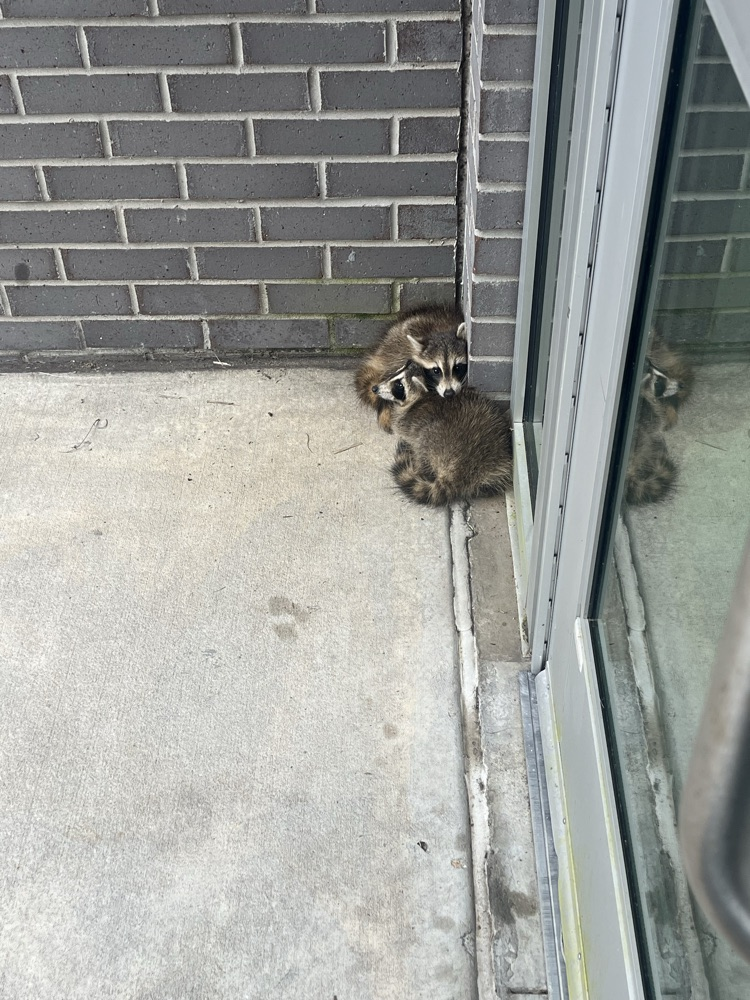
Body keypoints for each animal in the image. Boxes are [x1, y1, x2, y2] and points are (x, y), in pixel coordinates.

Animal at [375, 364, 513, 507]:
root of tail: (458, 471)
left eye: (399, 385)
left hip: (429, 438)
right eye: (396, 372)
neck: (420, 397)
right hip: (498, 460)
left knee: (421, 451)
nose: (375, 388)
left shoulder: (408, 421)